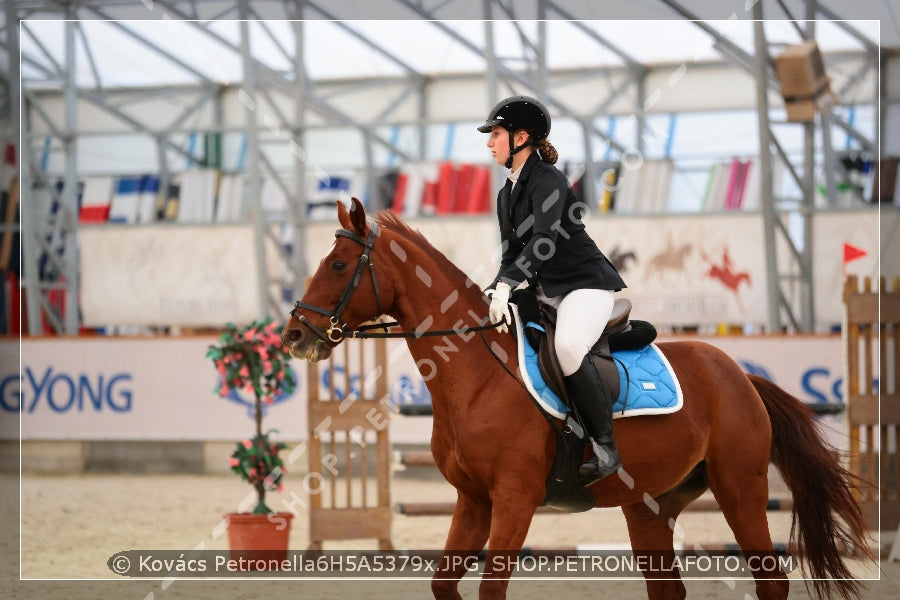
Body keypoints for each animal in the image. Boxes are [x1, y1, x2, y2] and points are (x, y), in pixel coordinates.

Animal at [284, 198, 872, 600]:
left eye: (338, 265)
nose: (294, 335)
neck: (475, 375)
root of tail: (740, 375)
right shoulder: (473, 500)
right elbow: (444, 585)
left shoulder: (514, 499)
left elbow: (490, 588)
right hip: (651, 507)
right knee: (668, 588)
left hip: (741, 489)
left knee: (771, 581)